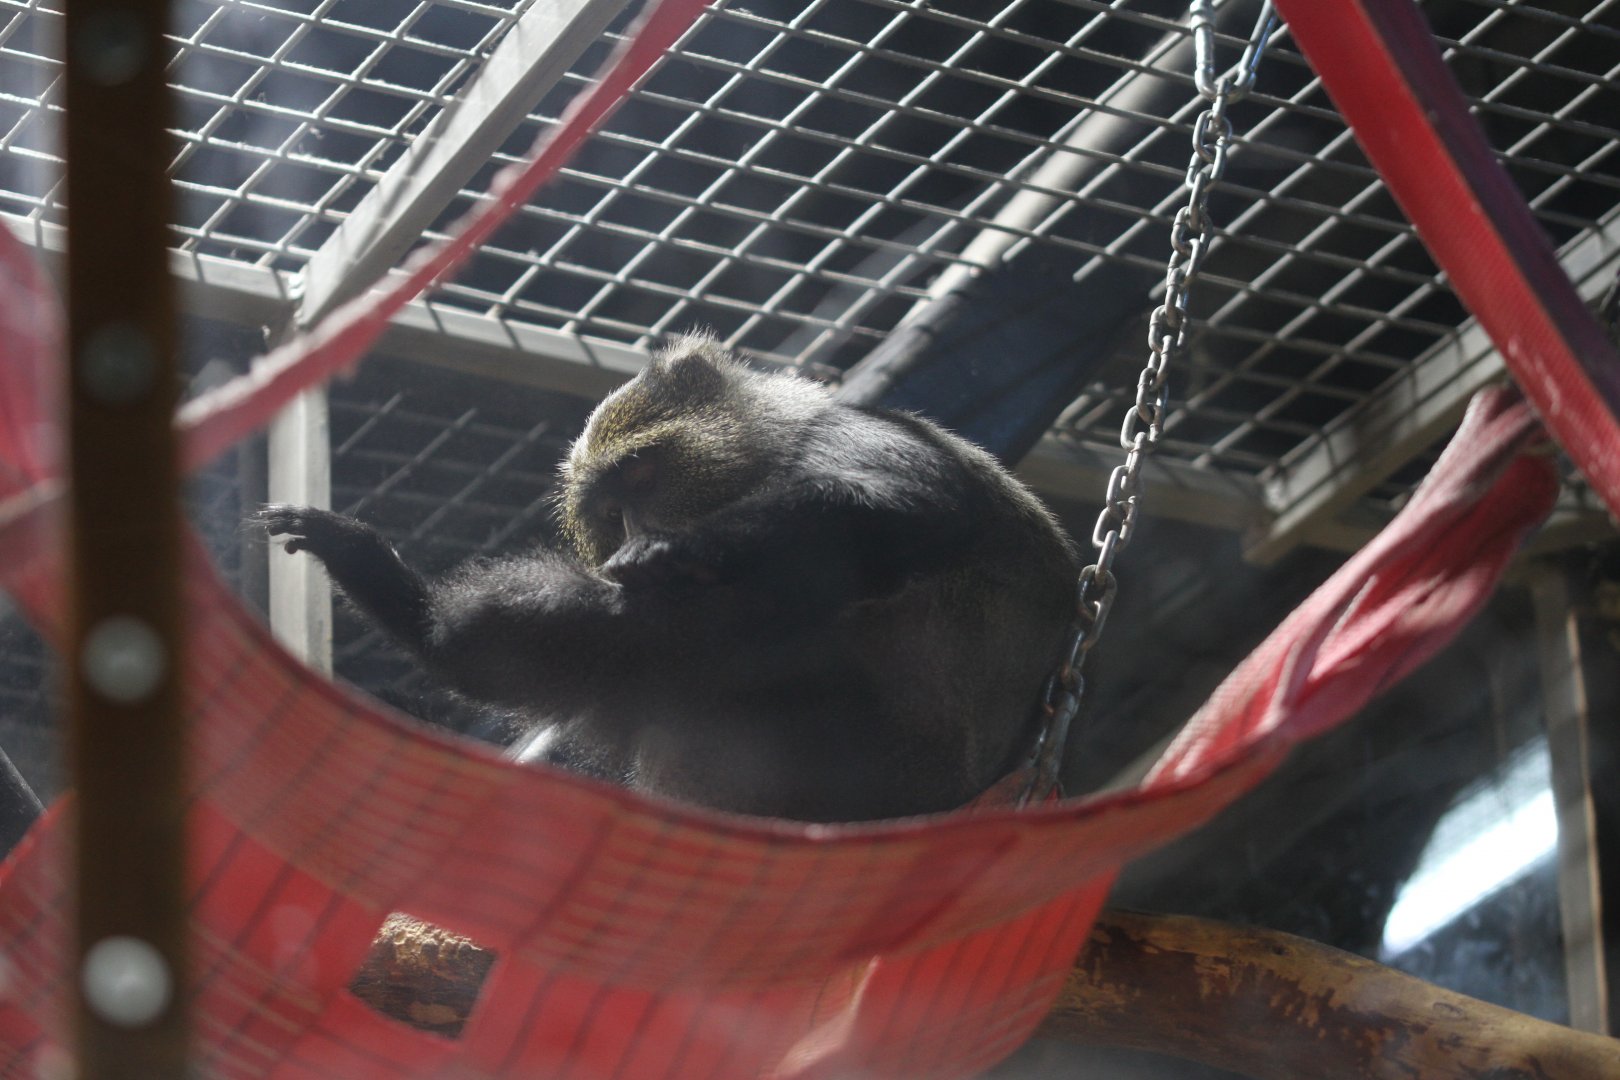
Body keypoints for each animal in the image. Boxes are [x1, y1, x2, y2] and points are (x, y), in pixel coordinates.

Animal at [258, 335, 1080, 822]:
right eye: (608, 511)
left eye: (644, 475)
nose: (634, 534)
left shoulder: (860, 432)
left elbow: (910, 506)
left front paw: (669, 552)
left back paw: (420, 617)